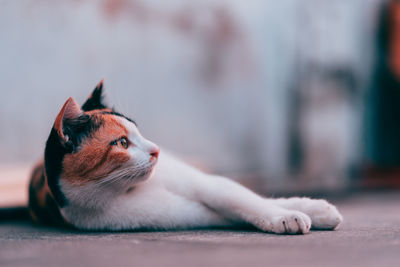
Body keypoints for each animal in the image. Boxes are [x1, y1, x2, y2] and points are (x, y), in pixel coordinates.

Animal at [28, 80, 342, 234]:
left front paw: (310, 210)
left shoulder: (205, 184)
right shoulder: (179, 213)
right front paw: (286, 217)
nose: (156, 150)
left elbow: (246, 199)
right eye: (122, 143)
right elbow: (236, 207)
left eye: (139, 131)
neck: (129, 190)